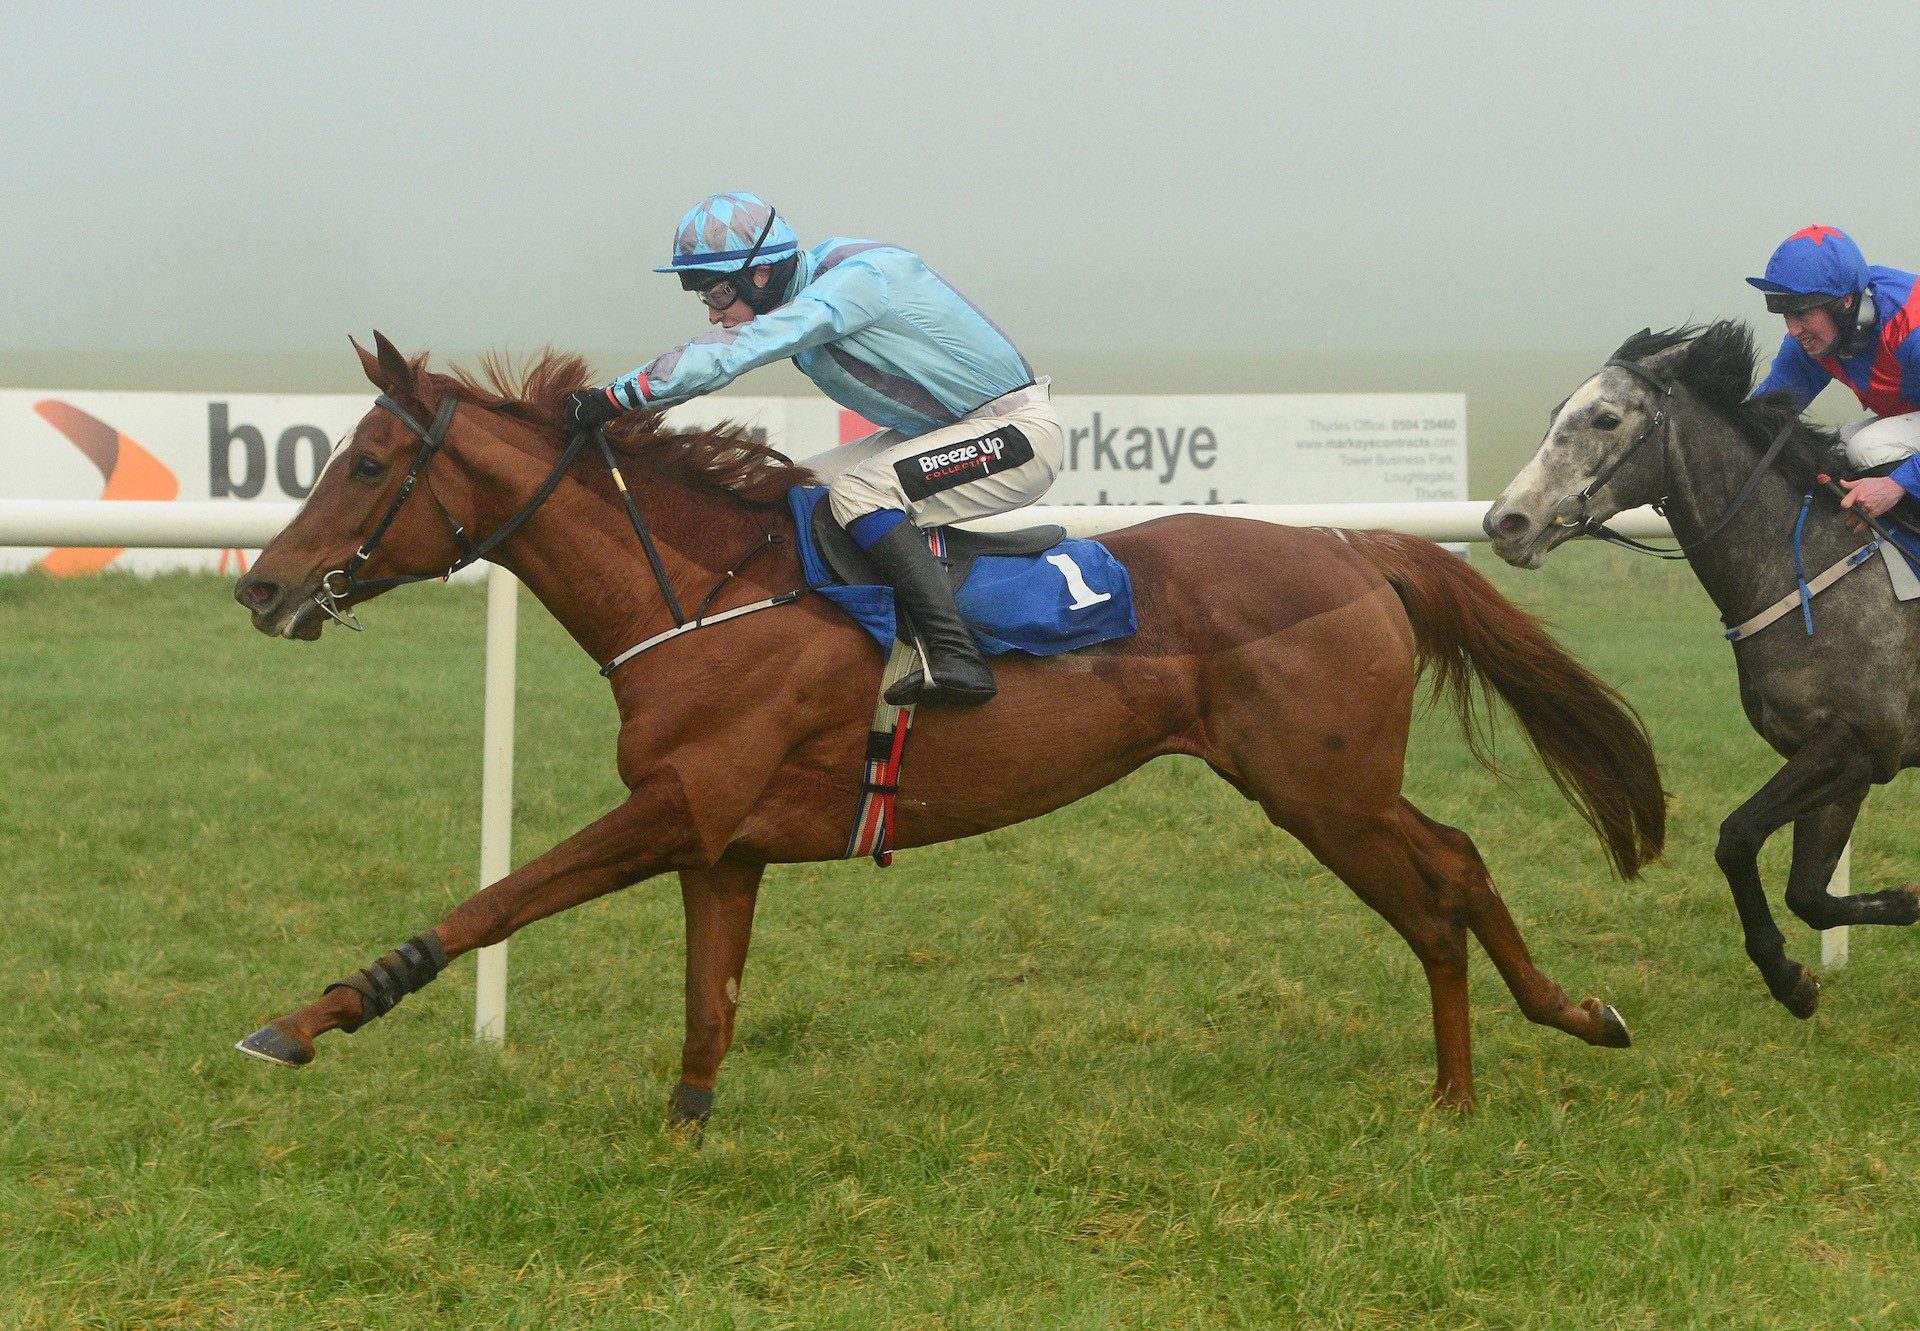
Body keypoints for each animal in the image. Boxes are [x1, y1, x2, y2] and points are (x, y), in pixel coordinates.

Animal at [228, 332, 1666, 1121]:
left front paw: (304, 1017)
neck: (702, 595)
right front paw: (685, 1131)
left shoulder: (674, 806)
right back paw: (1546, 1036)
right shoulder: (723, 844)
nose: (262, 585)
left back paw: (1486, 1074)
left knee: (1437, 888)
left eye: (366, 462)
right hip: (1332, 785)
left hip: (1323, 789)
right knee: (1460, 863)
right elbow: (709, 1008)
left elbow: (496, 898)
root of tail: (1360, 546)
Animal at [1482, 322, 1920, 1014]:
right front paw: (1895, 907)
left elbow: (1736, 838)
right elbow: (1809, 895)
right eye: (1556, 414)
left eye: (1606, 418)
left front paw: (1784, 974)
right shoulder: (1843, 757)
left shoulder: (1856, 742)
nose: (1506, 521)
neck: (1807, 565)